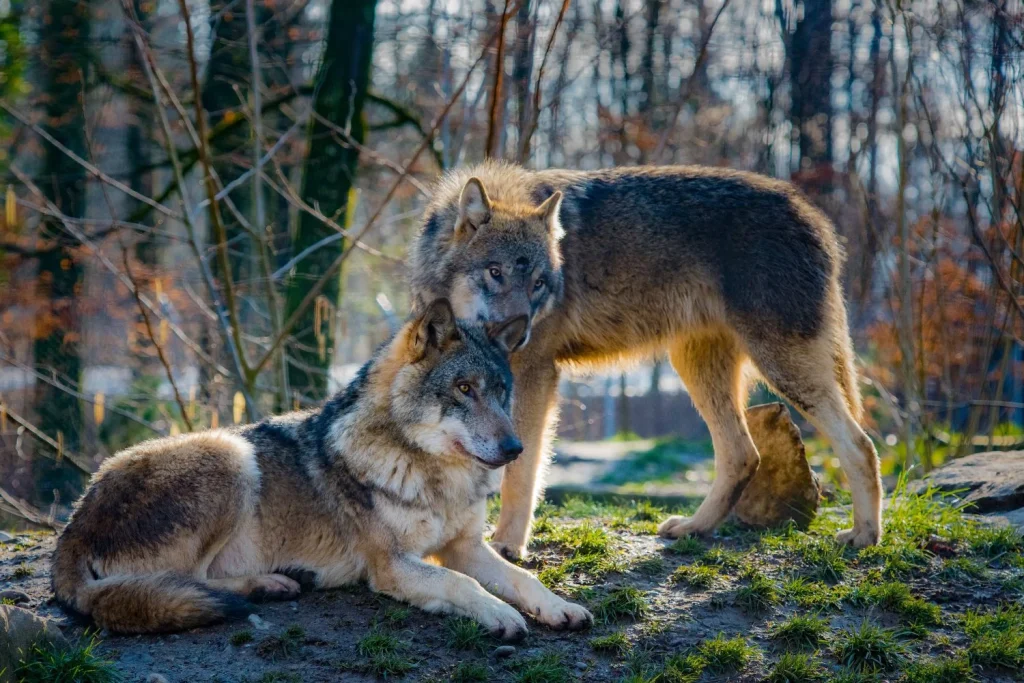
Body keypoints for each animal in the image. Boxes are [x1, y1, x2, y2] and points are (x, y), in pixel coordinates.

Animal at [51, 299, 593, 636]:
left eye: (501, 392)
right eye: (464, 389)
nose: (515, 448)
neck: (433, 475)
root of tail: (73, 524)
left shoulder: (465, 546)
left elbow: (522, 579)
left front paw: (559, 607)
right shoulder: (391, 565)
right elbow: (462, 584)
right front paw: (500, 615)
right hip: (231, 454)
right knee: (189, 581)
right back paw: (269, 584)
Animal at [409, 162, 883, 559]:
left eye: (540, 284)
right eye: (496, 273)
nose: (519, 333)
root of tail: (814, 216)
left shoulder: (534, 374)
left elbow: (521, 470)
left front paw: (507, 545)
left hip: (782, 368)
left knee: (860, 444)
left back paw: (864, 535)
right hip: (697, 368)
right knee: (743, 454)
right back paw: (694, 528)